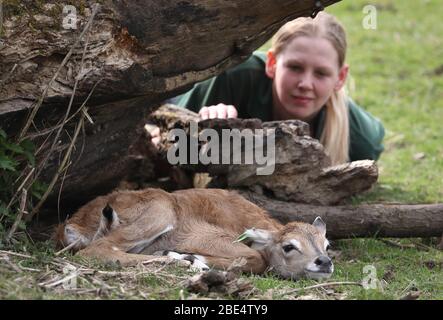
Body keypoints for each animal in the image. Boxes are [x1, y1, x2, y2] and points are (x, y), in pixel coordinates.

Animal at [54, 188, 332, 280]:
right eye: (289, 246)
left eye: (326, 245)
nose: (324, 262)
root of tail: (74, 224)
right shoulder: (204, 235)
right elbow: (256, 259)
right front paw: (195, 258)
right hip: (161, 210)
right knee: (97, 249)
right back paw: (179, 259)